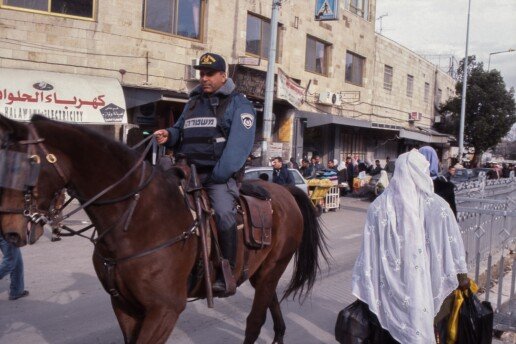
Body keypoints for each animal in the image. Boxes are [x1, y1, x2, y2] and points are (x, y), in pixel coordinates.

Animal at [0, 115, 328, 344]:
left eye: (29, 163)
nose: (10, 232)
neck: (137, 219)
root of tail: (285, 191)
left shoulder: (165, 309)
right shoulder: (124, 305)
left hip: (273, 267)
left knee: (254, 320)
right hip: (261, 273)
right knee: (270, 299)